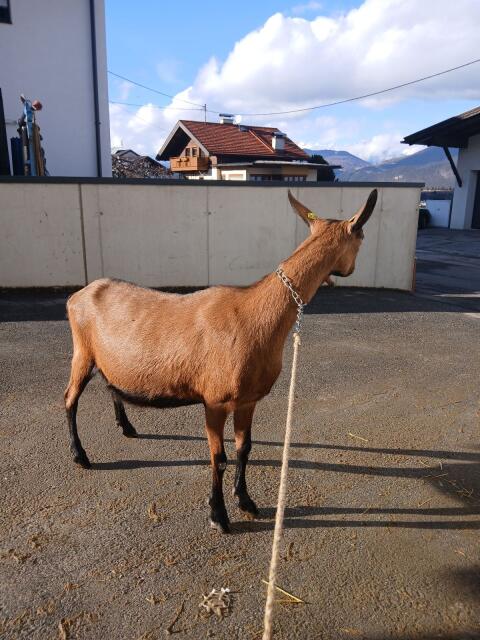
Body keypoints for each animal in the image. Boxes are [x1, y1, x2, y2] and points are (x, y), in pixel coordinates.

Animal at [64, 188, 377, 533]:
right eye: (362, 236)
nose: (349, 271)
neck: (257, 315)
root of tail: (78, 295)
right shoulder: (214, 400)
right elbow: (220, 458)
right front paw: (219, 515)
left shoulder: (247, 400)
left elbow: (245, 448)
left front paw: (246, 501)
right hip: (82, 351)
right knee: (70, 399)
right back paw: (80, 456)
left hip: (105, 359)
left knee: (110, 384)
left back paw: (127, 427)